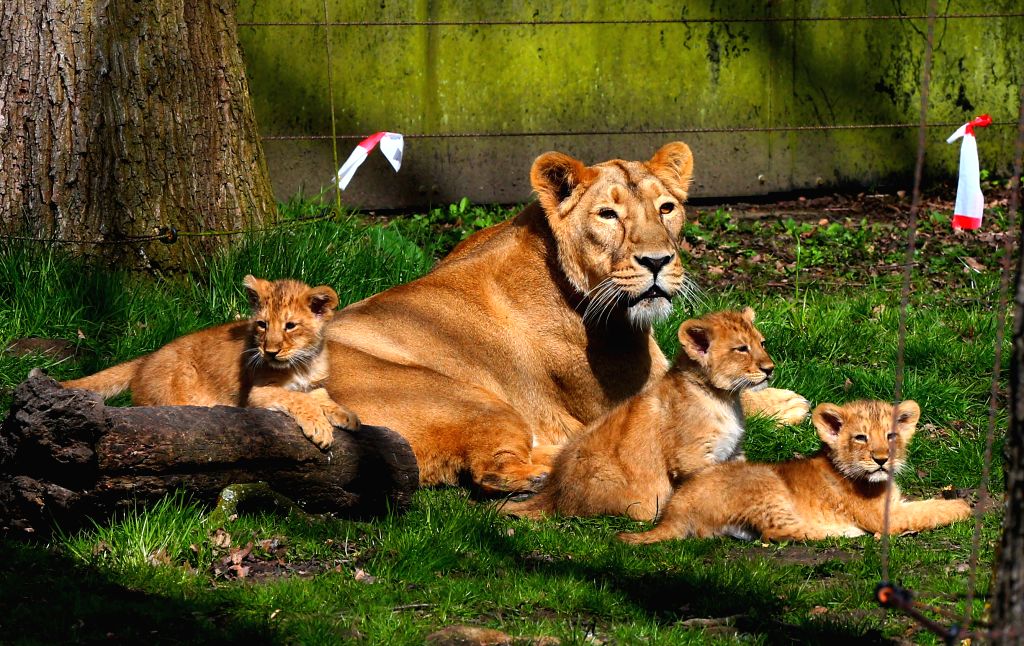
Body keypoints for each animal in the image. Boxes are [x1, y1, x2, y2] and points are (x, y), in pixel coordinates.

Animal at [62, 275, 358, 448]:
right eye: (262, 325)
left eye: (290, 326)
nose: (270, 352)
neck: (301, 363)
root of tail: (145, 359)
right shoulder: (257, 393)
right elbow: (298, 399)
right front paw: (320, 427)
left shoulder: (313, 384)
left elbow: (321, 396)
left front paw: (348, 416)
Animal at [321, 142, 810, 492]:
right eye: (608, 214)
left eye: (666, 208)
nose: (657, 261)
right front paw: (784, 402)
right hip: (465, 397)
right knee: (494, 470)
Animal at [499, 308, 775, 520]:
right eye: (741, 349)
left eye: (762, 343)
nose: (770, 368)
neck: (725, 399)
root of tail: (553, 492)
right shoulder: (690, 458)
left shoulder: (733, 452)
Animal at [617, 399, 972, 543]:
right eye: (861, 438)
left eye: (891, 436)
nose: (882, 459)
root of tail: (675, 509)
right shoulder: (884, 517)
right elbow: (929, 512)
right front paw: (964, 506)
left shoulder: (896, 504)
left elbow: (923, 505)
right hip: (765, 481)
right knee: (779, 531)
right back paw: (843, 532)